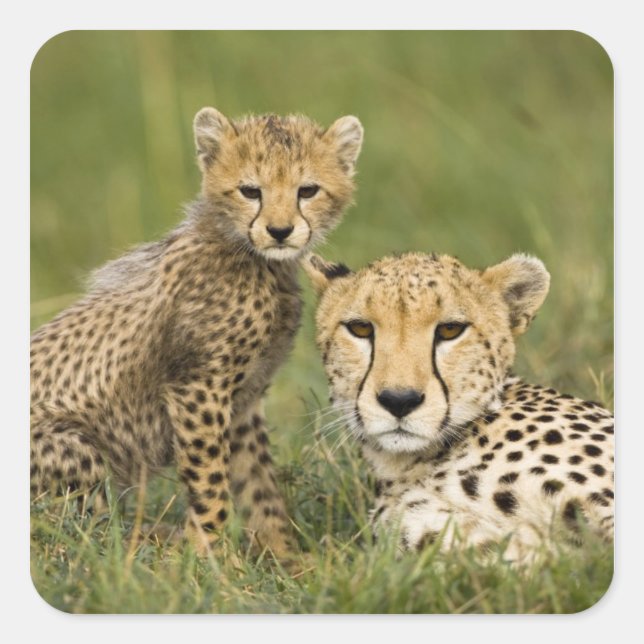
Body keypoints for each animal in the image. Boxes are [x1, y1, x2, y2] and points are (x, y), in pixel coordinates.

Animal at [30, 107, 363, 557]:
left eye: (307, 190)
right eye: (250, 191)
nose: (279, 231)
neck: (253, 259)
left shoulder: (242, 400)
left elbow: (259, 486)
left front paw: (285, 557)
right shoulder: (198, 389)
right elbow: (210, 483)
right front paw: (214, 558)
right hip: (74, 446)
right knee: (82, 533)